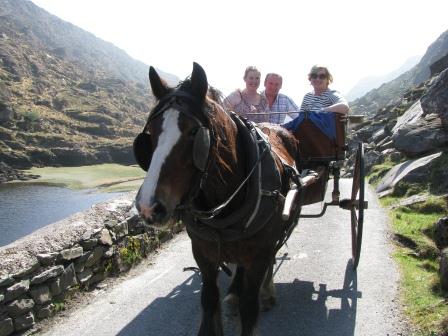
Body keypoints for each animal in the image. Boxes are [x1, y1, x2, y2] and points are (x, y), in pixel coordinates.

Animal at [133, 61, 300, 334]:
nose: (148, 207)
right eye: (152, 134)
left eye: (193, 132)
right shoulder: (202, 253)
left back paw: (266, 292)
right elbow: (209, 298)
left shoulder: (259, 255)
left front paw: (255, 298)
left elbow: (249, 307)